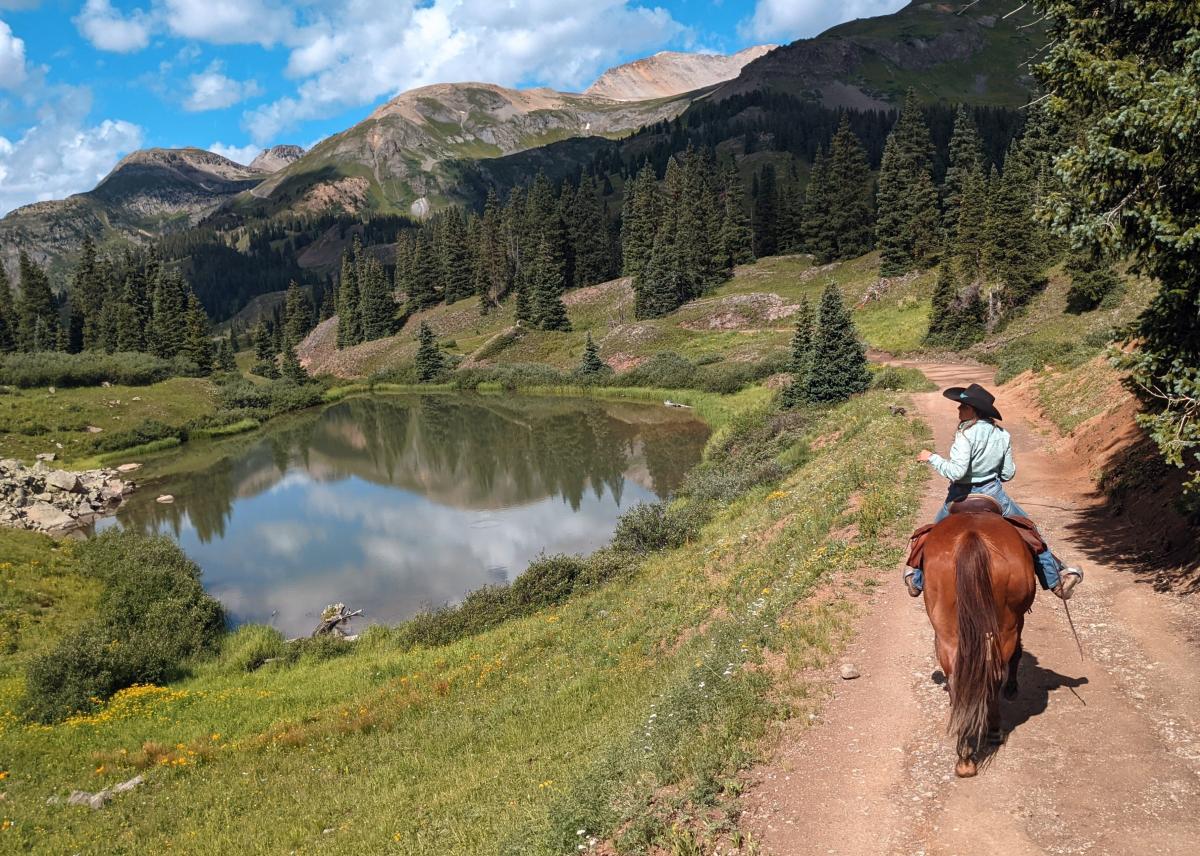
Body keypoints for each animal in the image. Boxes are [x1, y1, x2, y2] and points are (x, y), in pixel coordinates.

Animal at [921, 504, 1036, 777]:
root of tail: (971, 536)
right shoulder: (1017, 622)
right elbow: (1018, 653)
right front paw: (1012, 689)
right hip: (1005, 626)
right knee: (993, 674)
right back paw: (993, 731)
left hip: (946, 632)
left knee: (957, 677)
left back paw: (964, 753)